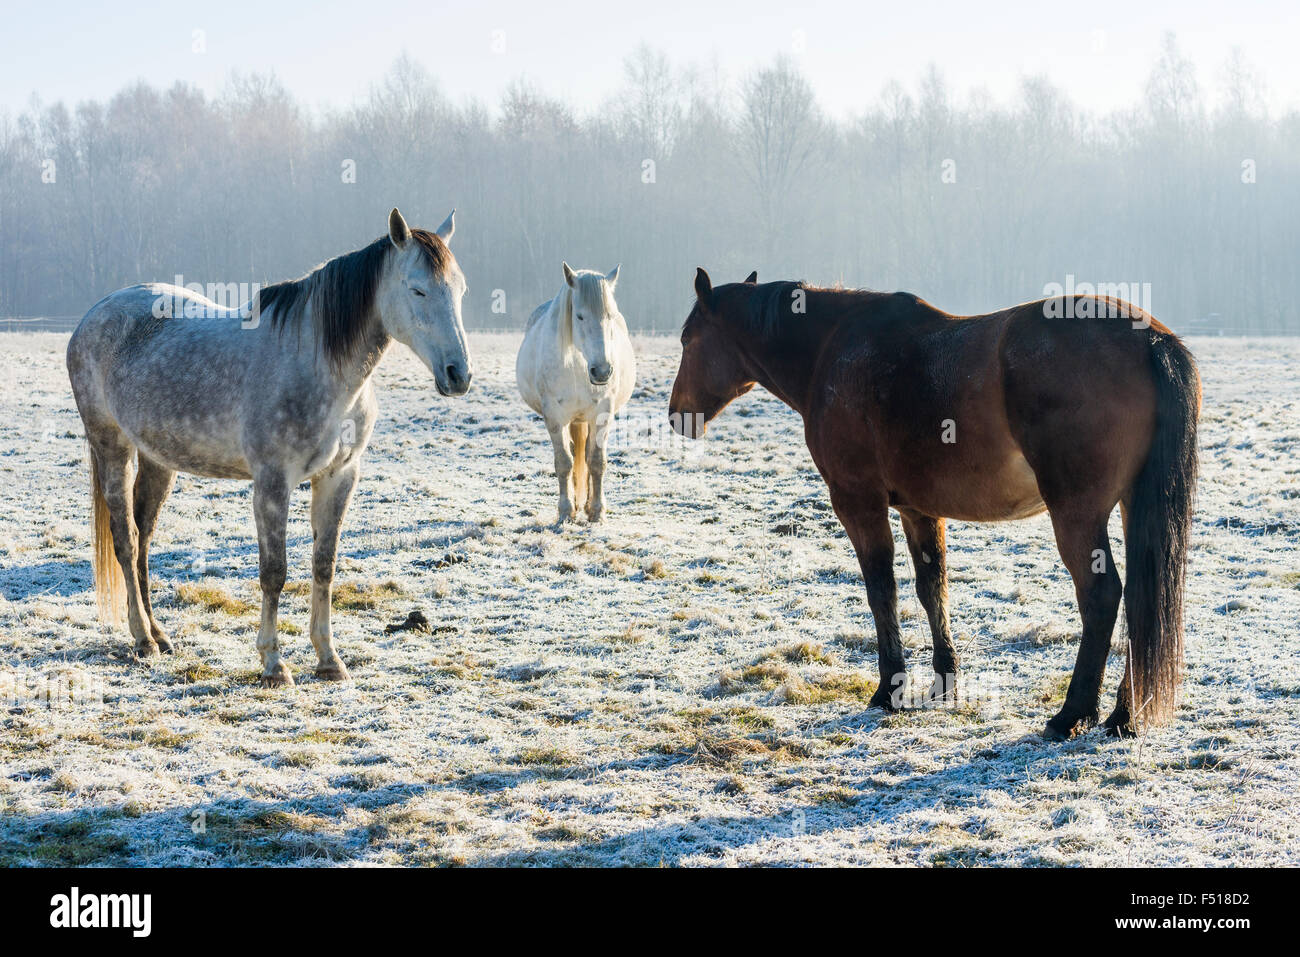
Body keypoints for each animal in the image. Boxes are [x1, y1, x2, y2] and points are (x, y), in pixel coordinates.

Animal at [66, 208, 472, 687]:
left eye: (460, 289)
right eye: (417, 288)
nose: (459, 374)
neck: (317, 364)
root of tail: (94, 315)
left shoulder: (339, 477)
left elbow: (323, 565)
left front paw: (329, 659)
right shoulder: (273, 483)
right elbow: (274, 572)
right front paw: (274, 664)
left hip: (157, 459)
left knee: (143, 537)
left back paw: (160, 635)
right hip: (111, 445)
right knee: (126, 541)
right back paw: (142, 639)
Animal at [516, 263, 635, 524]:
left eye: (610, 316)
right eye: (579, 316)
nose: (602, 371)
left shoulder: (602, 413)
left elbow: (596, 461)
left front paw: (597, 511)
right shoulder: (554, 416)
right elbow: (564, 462)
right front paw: (565, 511)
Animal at [669, 268, 1199, 739]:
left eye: (688, 338)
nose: (677, 416)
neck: (832, 350)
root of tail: (1150, 340)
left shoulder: (858, 503)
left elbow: (882, 591)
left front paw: (889, 690)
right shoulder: (918, 509)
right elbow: (932, 590)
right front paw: (946, 684)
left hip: (1076, 513)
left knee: (1102, 596)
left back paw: (1073, 714)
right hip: (1131, 507)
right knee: (1141, 601)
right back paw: (1124, 716)